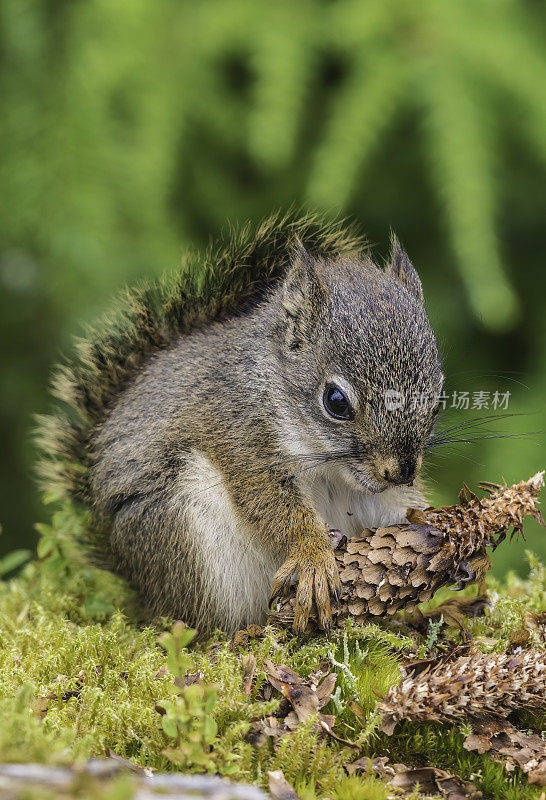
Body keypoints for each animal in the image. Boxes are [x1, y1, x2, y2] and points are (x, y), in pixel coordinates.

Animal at [36, 212, 440, 636]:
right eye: (336, 402)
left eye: (439, 397)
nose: (401, 472)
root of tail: (139, 586)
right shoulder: (240, 433)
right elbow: (271, 502)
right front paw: (313, 556)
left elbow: (397, 509)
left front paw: (433, 524)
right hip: (184, 534)